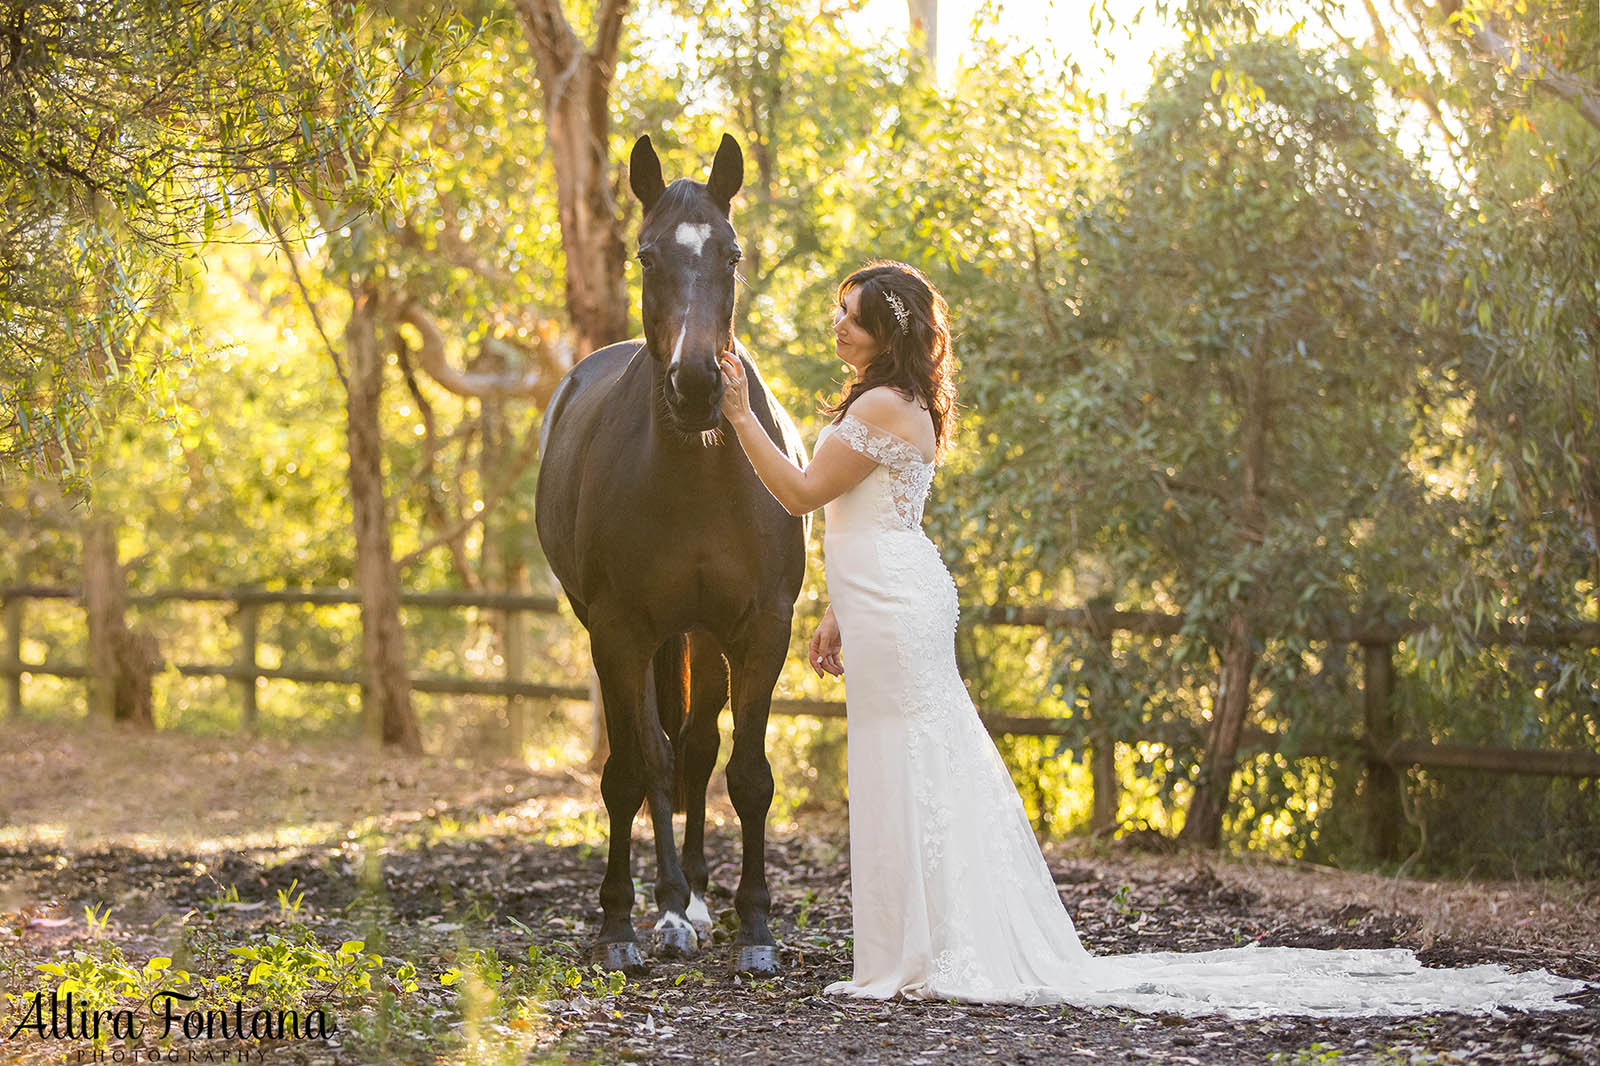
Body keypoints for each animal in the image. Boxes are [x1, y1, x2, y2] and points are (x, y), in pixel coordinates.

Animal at [537, 132, 806, 973]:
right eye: (648, 255)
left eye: (733, 253)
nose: (694, 385)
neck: (697, 469)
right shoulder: (619, 630)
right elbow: (636, 768)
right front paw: (628, 920)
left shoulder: (761, 628)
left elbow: (745, 774)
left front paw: (755, 927)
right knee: (651, 758)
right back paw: (667, 906)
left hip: (702, 637)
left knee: (697, 747)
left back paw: (696, 896)